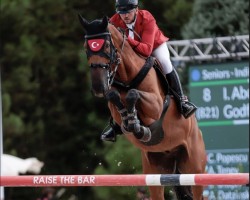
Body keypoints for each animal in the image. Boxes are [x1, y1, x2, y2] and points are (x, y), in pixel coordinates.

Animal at [78, 15, 207, 200]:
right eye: (85, 48)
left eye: (107, 45)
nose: (98, 87)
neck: (127, 76)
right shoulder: (114, 106)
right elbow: (114, 97)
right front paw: (131, 122)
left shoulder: (156, 105)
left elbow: (134, 94)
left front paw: (138, 126)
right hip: (155, 173)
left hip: (194, 169)